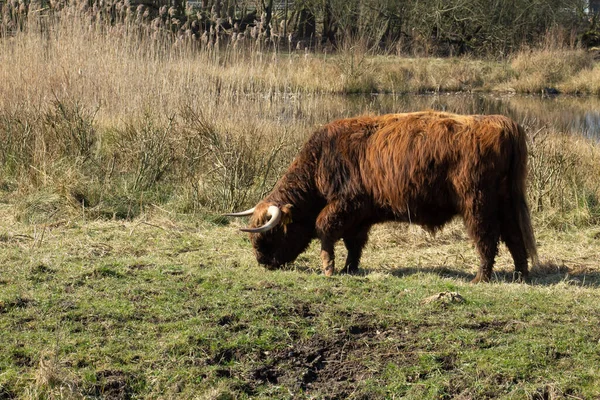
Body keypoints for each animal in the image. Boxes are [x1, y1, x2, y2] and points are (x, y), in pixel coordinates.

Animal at [229, 111, 540, 282]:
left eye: (270, 234)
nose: (262, 262)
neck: (320, 161)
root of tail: (501, 123)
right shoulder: (359, 214)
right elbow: (354, 242)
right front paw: (349, 268)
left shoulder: (346, 203)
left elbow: (324, 228)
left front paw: (329, 268)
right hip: (506, 201)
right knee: (514, 235)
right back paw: (520, 274)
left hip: (477, 203)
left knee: (487, 237)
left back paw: (480, 278)